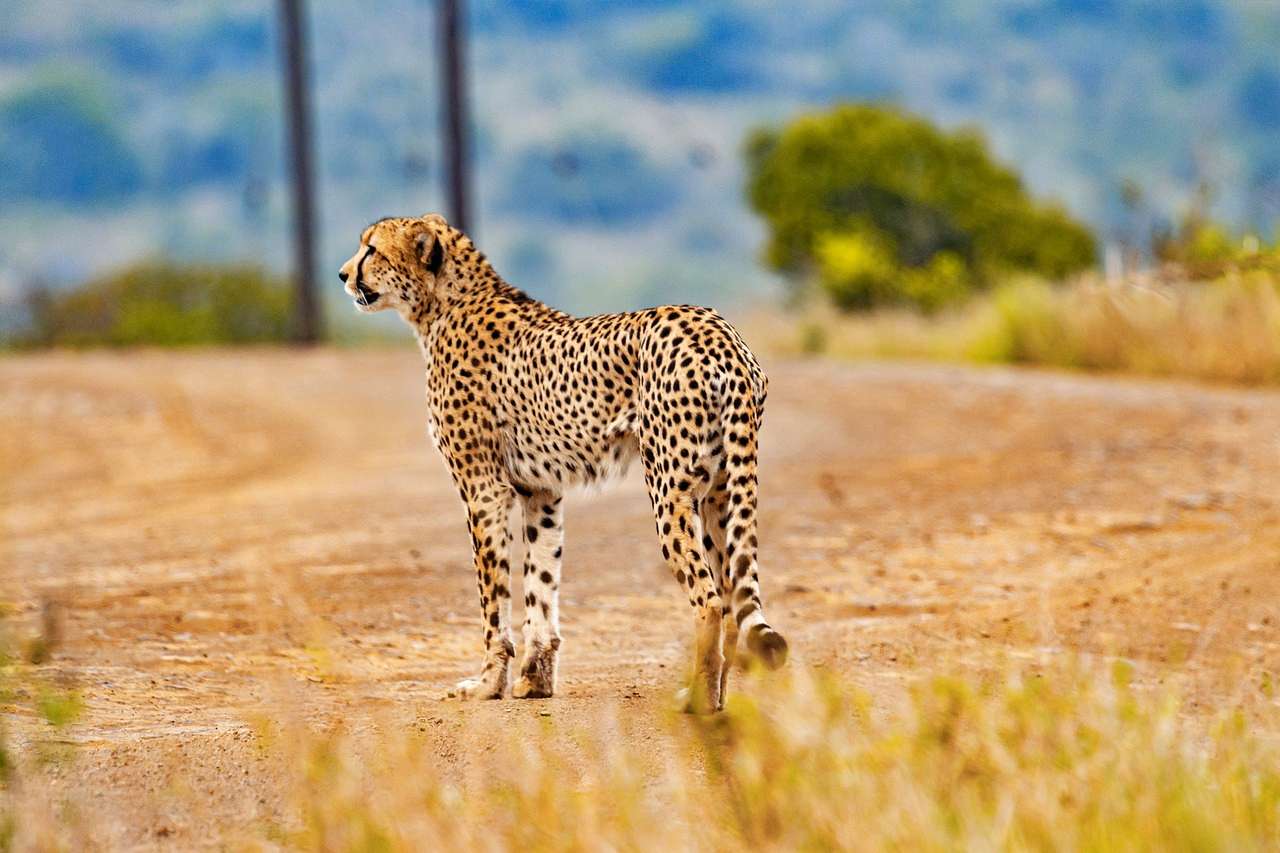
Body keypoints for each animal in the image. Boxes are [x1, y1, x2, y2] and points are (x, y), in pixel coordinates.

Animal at [335, 212, 783, 712]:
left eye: (371, 249)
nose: (343, 274)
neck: (442, 304)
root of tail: (719, 331)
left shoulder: (483, 488)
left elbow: (493, 597)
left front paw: (488, 683)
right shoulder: (541, 491)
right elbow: (541, 583)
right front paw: (536, 680)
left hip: (671, 491)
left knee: (709, 599)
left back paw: (699, 701)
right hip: (720, 493)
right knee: (731, 596)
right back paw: (719, 697)